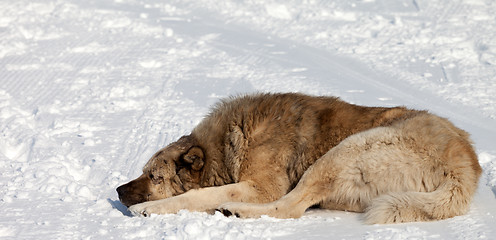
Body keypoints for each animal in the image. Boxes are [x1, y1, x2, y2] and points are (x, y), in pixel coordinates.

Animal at [116, 93, 480, 224]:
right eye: (143, 172)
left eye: (155, 177)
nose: (118, 190)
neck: (226, 143)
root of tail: (465, 167)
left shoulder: (261, 188)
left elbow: (196, 195)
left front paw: (149, 209)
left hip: (345, 151)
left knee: (290, 208)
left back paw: (235, 211)